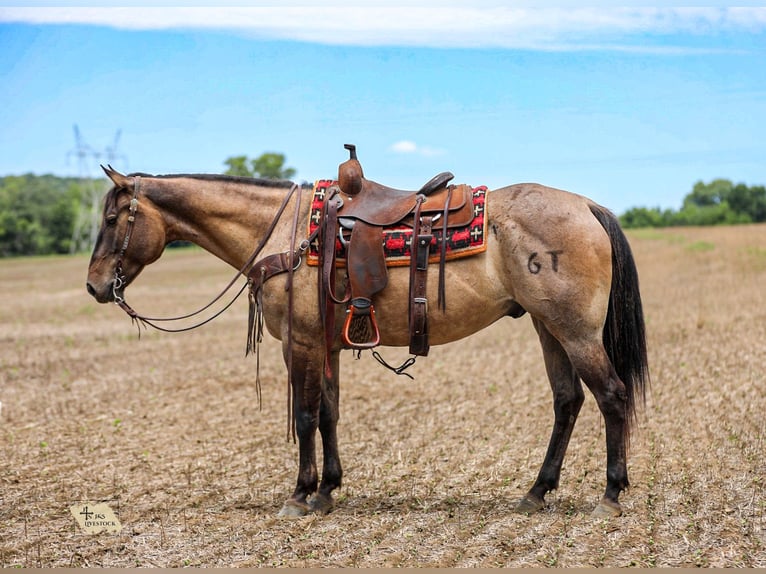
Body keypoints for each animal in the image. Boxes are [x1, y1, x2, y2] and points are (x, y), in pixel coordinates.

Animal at [86, 166, 649, 519]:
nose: (94, 286)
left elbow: (306, 416)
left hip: (575, 332)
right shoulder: (327, 347)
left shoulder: (301, 344)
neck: (286, 233)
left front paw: (300, 495)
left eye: (112, 219)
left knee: (612, 397)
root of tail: (588, 206)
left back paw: (610, 495)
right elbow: (330, 414)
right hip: (547, 327)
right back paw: (536, 492)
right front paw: (328, 490)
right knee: (567, 401)